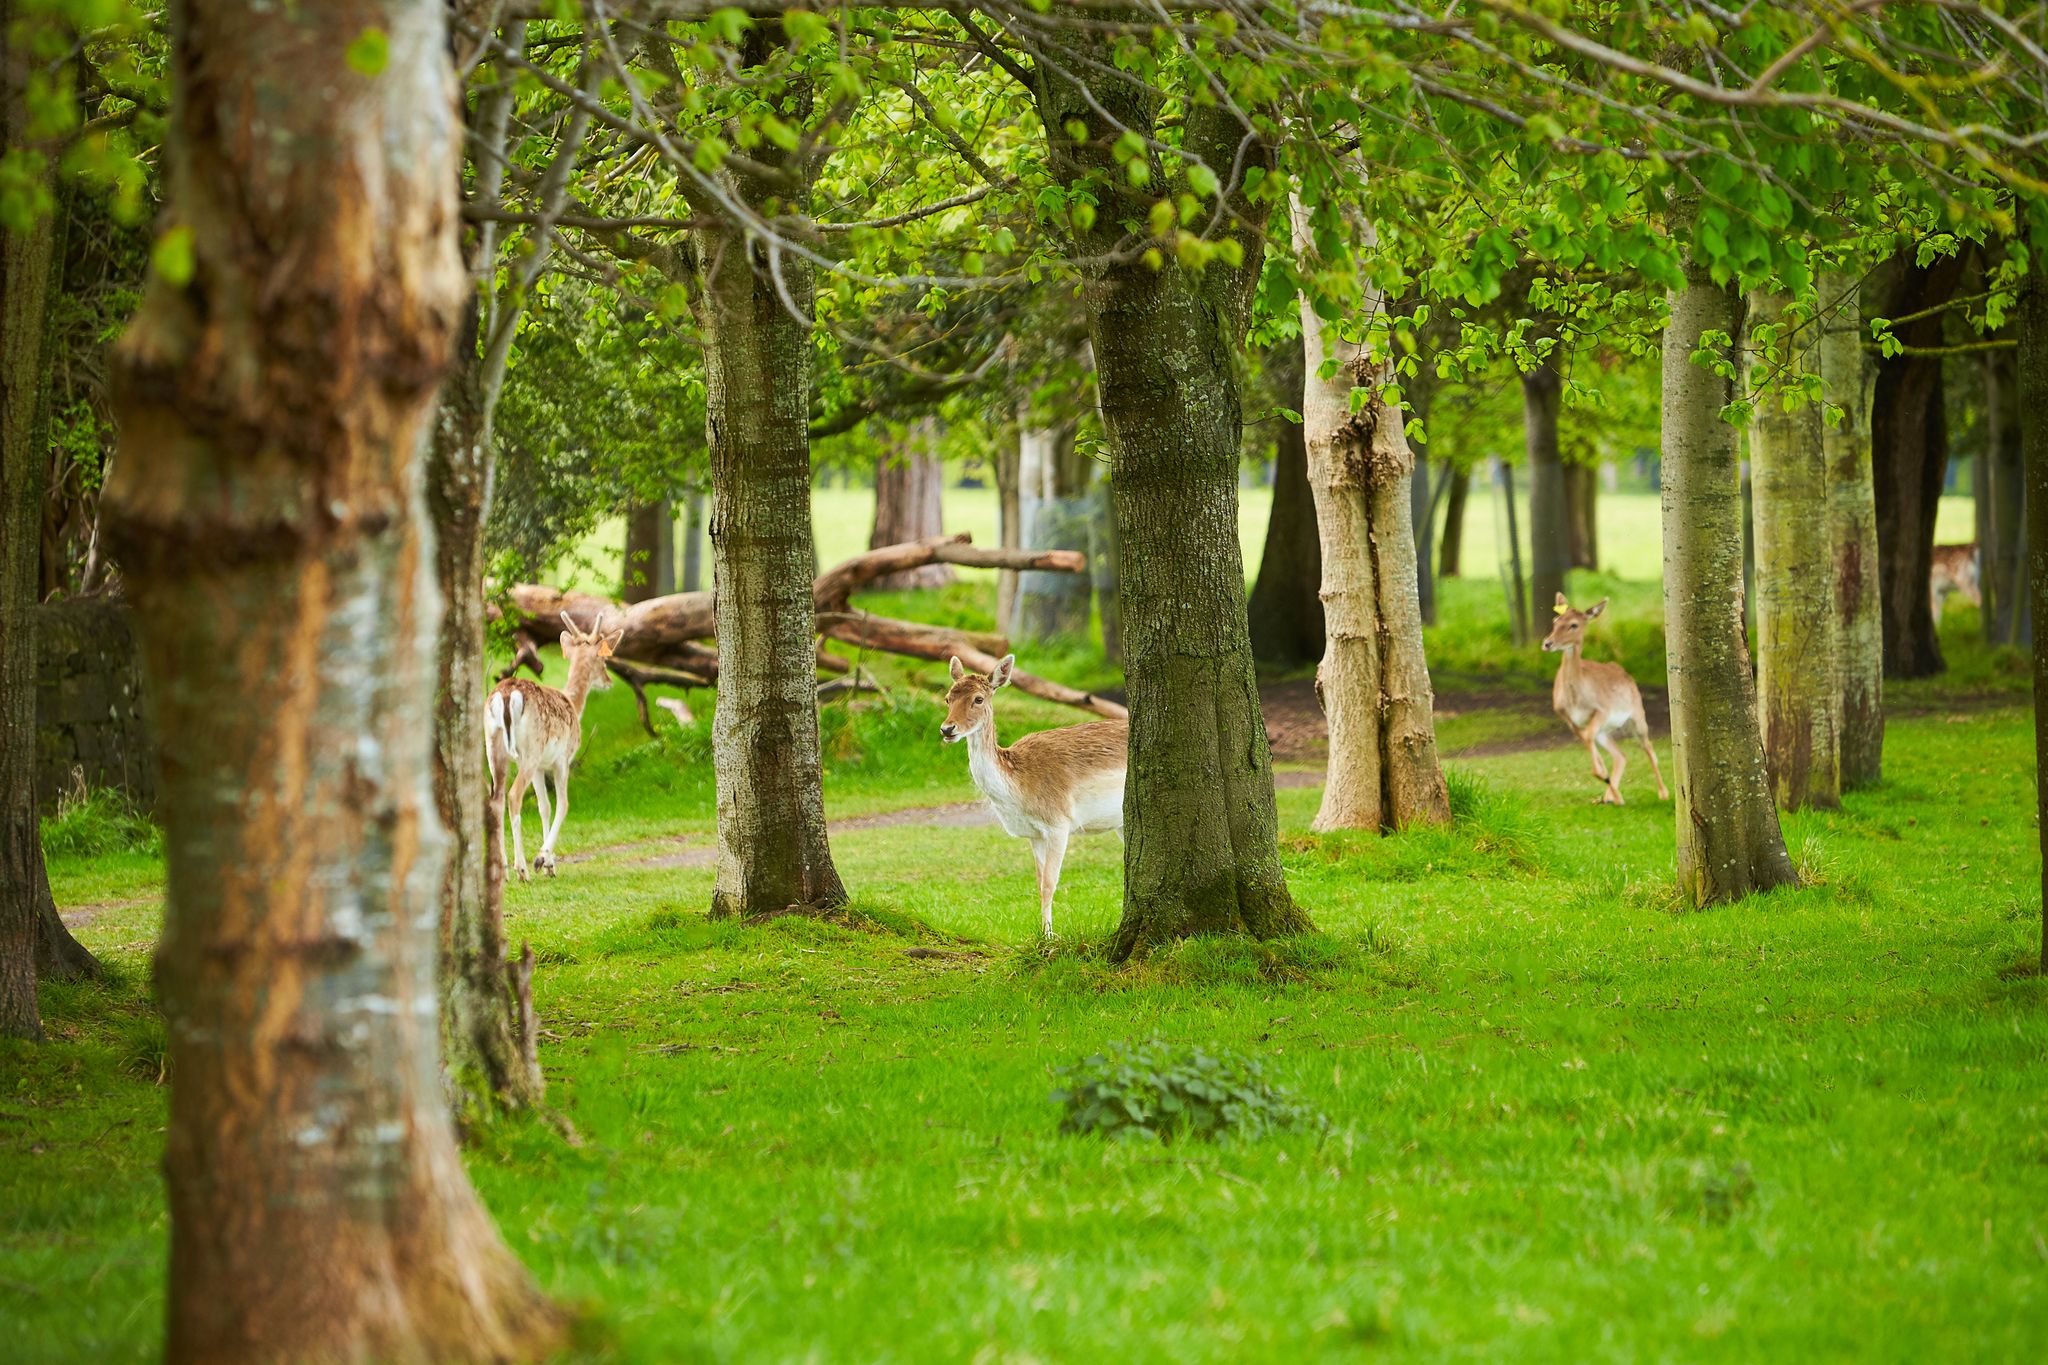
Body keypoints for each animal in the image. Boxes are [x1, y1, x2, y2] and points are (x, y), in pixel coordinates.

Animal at [485, 611, 622, 880]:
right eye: (604, 661)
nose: (609, 681)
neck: (573, 704)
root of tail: (505, 696)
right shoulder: (562, 760)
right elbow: (563, 804)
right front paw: (543, 860)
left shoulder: (541, 767)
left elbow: (544, 806)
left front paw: (549, 863)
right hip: (529, 751)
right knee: (513, 796)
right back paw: (521, 869)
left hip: (493, 747)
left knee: (495, 800)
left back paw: (502, 869)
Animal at [940, 654, 1127, 937]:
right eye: (947, 698)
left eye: (978, 699)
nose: (947, 729)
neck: (1019, 790)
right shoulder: (1033, 834)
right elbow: (1039, 883)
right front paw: (1043, 932)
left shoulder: (1059, 822)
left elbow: (1050, 882)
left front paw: (1050, 936)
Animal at [1541, 594, 1668, 806]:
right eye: (1555, 620)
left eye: (1574, 625)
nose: (1547, 643)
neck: (1575, 699)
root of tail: (1624, 672)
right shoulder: (1569, 719)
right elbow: (1586, 739)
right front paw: (1604, 778)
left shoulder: (1603, 709)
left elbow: (1588, 738)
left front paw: (1602, 775)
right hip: (1606, 730)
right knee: (1621, 755)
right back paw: (1613, 796)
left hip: (1637, 715)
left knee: (1649, 748)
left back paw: (1662, 793)